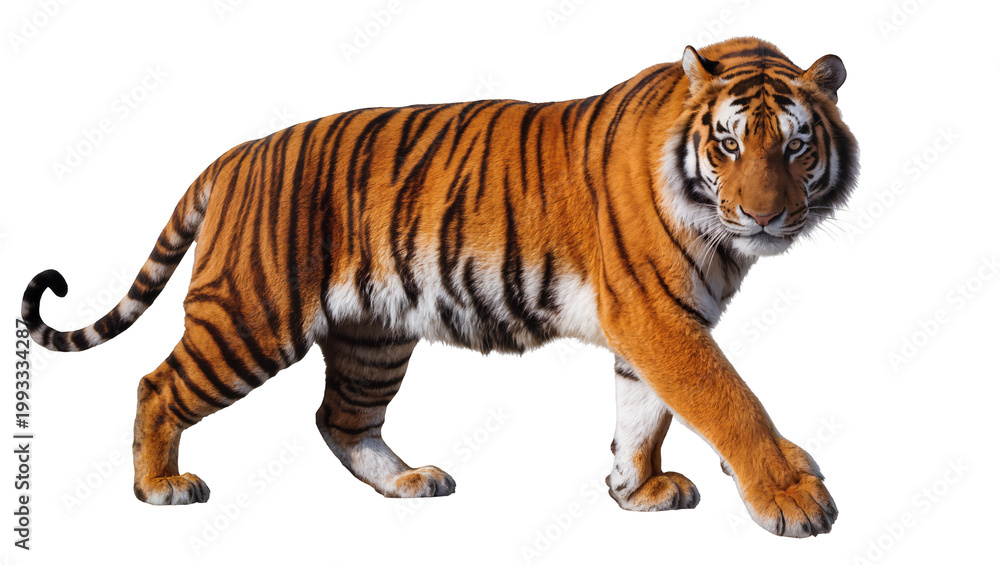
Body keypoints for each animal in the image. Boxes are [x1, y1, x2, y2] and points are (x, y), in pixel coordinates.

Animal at [21, 36, 858, 537]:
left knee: (340, 419)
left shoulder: (654, 324)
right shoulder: (656, 313)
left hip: (372, 338)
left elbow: (642, 414)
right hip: (250, 317)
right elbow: (730, 401)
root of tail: (233, 155)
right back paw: (159, 485)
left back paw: (408, 481)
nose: (764, 214)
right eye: (727, 146)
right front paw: (790, 495)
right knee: (157, 384)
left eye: (795, 146)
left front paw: (635, 489)